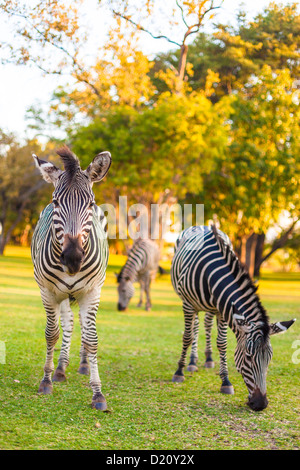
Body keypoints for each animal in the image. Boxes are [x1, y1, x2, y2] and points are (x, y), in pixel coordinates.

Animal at [31, 145, 111, 410]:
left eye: (90, 203)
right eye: (55, 202)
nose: (73, 258)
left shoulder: (92, 291)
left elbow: (92, 338)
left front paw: (98, 393)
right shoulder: (48, 291)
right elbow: (52, 333)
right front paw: (46, 380)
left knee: (83, 327)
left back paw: (84, 365)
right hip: (63, 294)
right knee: (68, 323)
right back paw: (61, 368)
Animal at [171, 225, 296, 412]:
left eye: (269, 358)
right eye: (248, 357)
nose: (261, 404)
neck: (212, 274)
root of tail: (200, 225)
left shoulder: (223, 309)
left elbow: (222, 343)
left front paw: (225, 381)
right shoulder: (187, 304)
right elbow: (187, 337)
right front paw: (179, 371)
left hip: (211, 308)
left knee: (207, 324)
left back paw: (208, 359)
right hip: (192, 304)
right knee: (196, 327)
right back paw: (192, 362)